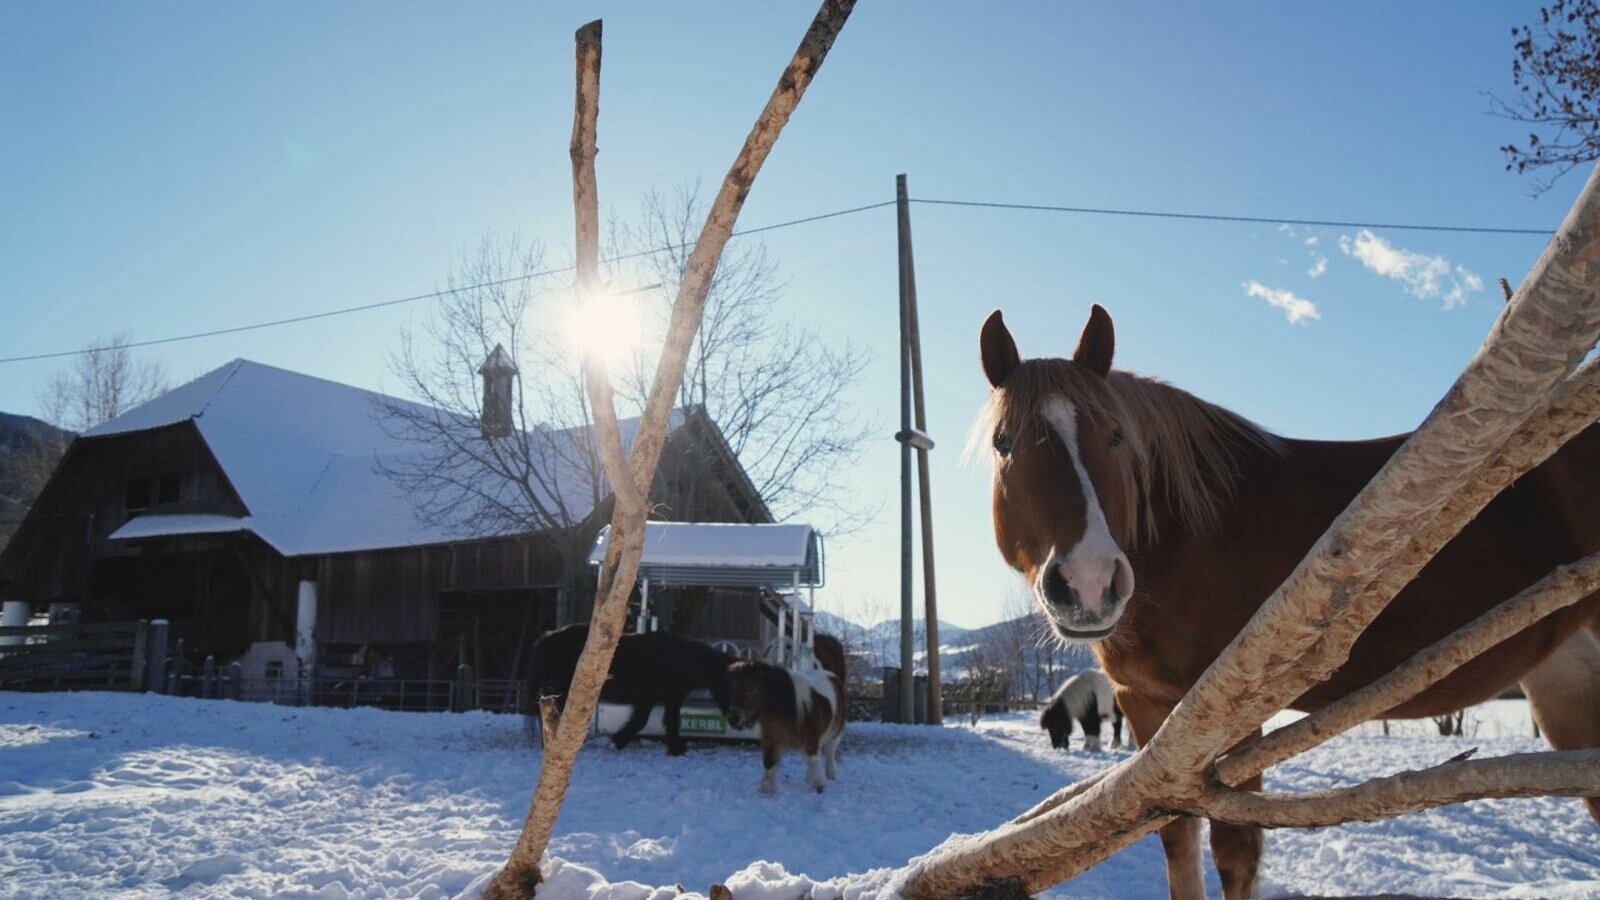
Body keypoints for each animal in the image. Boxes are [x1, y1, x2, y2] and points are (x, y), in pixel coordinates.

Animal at [528, 623, 735, 756]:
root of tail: (547, 638)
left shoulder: (670, 698)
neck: (678, 660)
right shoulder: (648, 698)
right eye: (731, 683)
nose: (737, 720)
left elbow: (671, 721)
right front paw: (617, 741)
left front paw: (676, 749)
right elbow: (640, 722)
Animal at [725, 633, 848, 794]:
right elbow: (769, 764)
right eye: (733, 688)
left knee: (829, 752)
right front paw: (768, 788)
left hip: (836, 732)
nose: (733, 719)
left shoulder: (812, 741)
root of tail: (831, 676)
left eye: (749, 688)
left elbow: (815, 761)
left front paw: (819, 785)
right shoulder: (771, 741)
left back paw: (830, 773)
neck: (789, 709)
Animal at [976, 304, 1600, 900]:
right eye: (1003, 444)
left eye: (1114, 436)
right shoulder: (1148, 709)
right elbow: (1177, 838)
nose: (1089, 583)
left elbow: (1236, 852)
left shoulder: (1225, 715)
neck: (1192, 534)